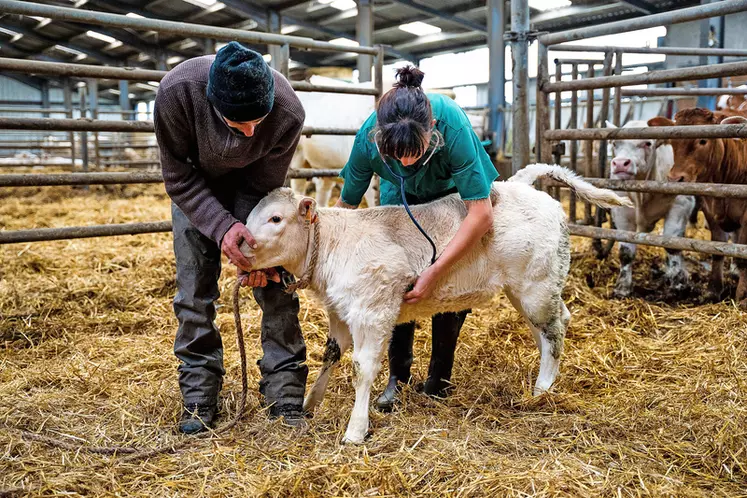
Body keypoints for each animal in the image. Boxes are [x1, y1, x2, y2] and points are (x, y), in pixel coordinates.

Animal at [243, 163, 636, 444]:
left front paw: (356, 430)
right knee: (548, 330)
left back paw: (541, 391)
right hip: (525, 291)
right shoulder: (340, 312)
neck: (333, 244)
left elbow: (362, 369)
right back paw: (542, 383)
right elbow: (331, 354)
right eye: (249, 217)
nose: (241, 242)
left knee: (556, 328)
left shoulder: (374, 311)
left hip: (536, 287)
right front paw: (310, 403)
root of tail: (520, 186)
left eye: (275, 218)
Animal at [608, 121, 696, 298]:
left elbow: (672, 244)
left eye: (648, 143)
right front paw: (622, 287)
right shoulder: (621, 213)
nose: (620, 163)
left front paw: (679, 284)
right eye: (615, 143)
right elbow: (626, 251)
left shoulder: (681, 204)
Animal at [648, 108, 747, 308]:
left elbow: (743, 256)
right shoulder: (710, 211)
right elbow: (717, 249)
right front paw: (713, 290)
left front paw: (742, 297)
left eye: (703, 140)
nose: (675, 178)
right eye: (672, 140)